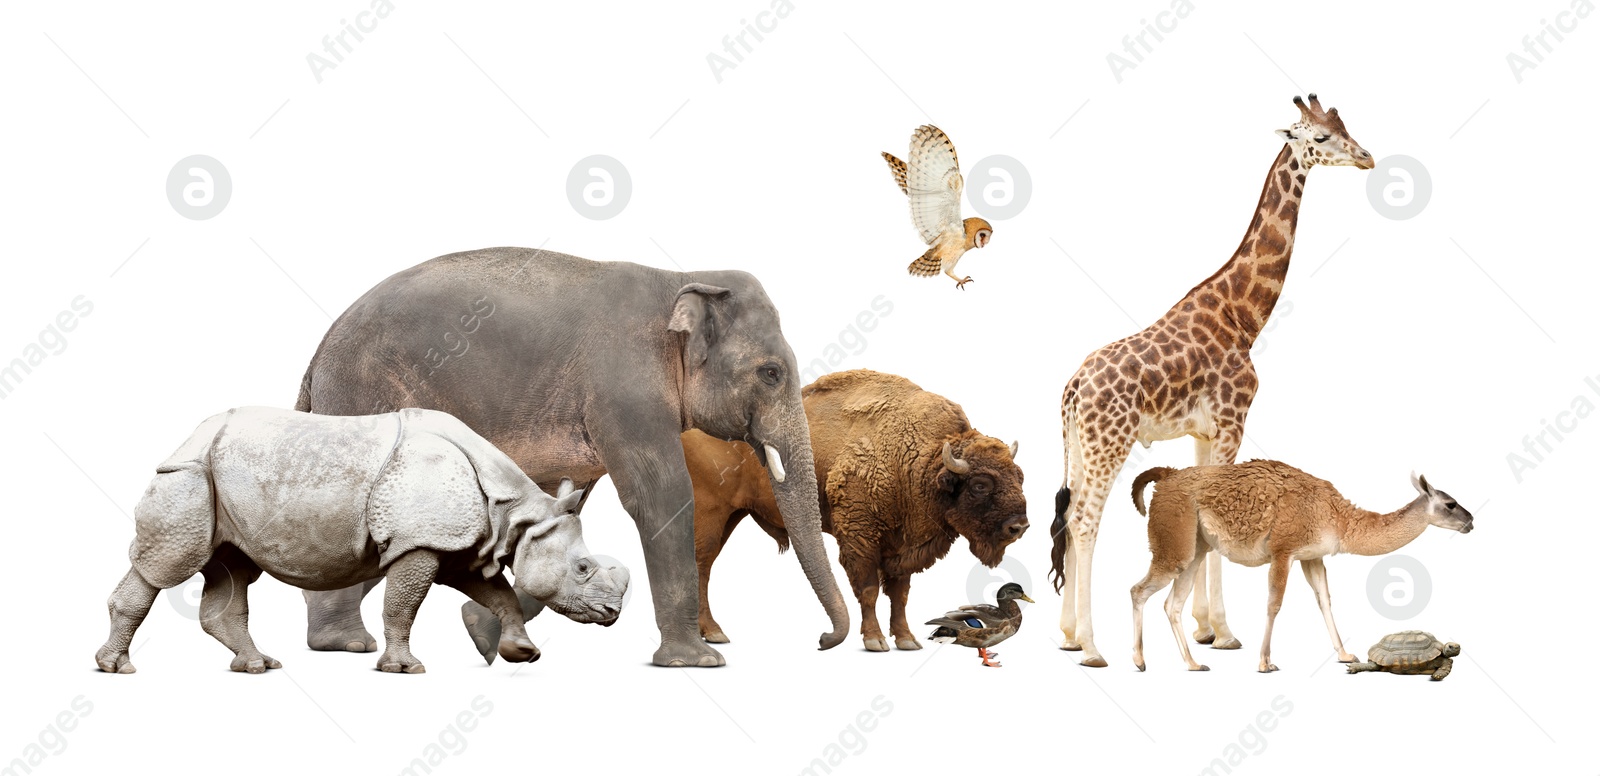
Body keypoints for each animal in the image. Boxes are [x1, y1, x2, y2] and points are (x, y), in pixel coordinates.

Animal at [90, 404, 630, 672]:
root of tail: (190, 436)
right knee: (170, 563)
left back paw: (258, 666)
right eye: (583, 569)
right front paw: (404, 669)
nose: (612, 615)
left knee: (233, 569)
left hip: (223, 479)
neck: (516, 514)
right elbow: (402, 605)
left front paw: (522, 654)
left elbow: (499, 594)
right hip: (189, 474)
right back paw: (116, 668)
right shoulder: (421, 542)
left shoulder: (462, 546)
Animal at [297, 248, 851, 665]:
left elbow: (556, 508)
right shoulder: (624, 386)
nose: (822, 641)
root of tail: (317, 355)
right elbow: (660, 496)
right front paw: (698, 662)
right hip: (362, 396)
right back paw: (346, 643)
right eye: (772, 373)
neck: (682, 278)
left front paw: (484, 635)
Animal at [688, 368, 1024, 646]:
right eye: (980, 484)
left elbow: (900, 594)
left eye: (1020, 477)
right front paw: (875, 640)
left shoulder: (900, 548)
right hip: (711, 514)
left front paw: (907, 640)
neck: (920, 460)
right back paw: (714, 633)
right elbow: (869, 589)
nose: (1019, 526)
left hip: (732, 516)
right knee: (702, 565)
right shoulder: (860, 538)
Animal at [1049, 95, 1376, 665]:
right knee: (1087, 520)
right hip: (1109, 441)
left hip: (1080, 445)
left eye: (1345, 128)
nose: (1366, 158)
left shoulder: (1203, 431)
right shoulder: (1232, 419)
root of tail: (1072, 389)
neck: (1242, 314)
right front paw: (1224, 633)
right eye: (1317, 138)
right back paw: (1092, 645)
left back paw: (1069, 635)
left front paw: (1203, 629)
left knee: (1069, 519)